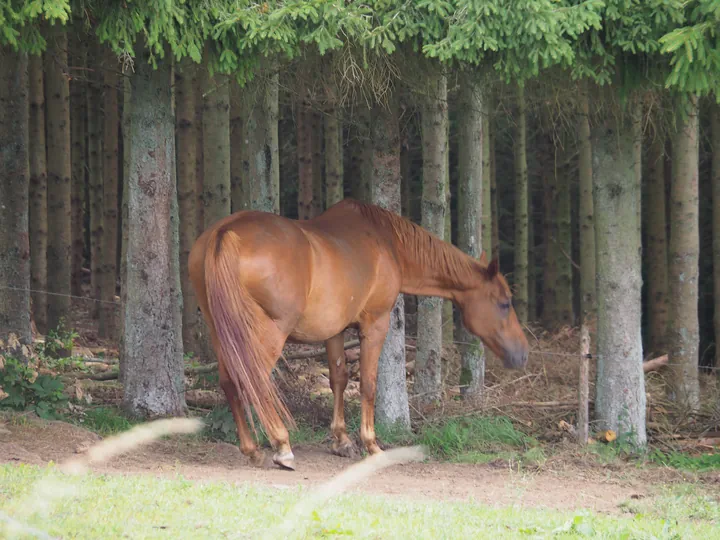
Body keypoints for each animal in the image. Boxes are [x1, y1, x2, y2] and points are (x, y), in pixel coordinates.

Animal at [191, 199, 528, 472]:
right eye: (504, 302)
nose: (522, 353)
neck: (385, 242)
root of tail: (226, 232)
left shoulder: (334, 330)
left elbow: (338, 379)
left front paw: (341, 440)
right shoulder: (375, 325)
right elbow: (368, 383)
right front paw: (372, 444)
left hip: (222, 332)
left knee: (230, 382)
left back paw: (252, 450)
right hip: (268, 333)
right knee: (255, 379)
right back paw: (281, 446)